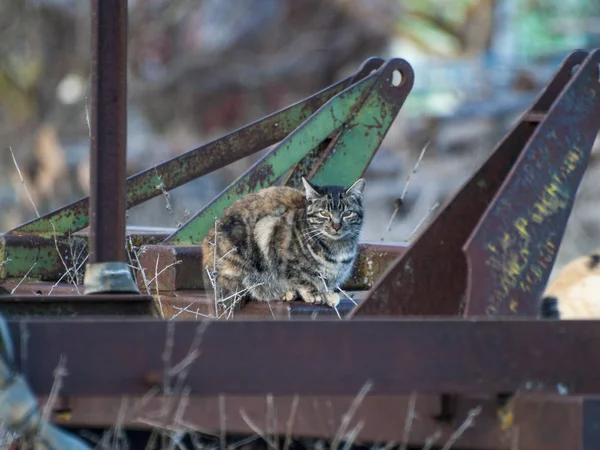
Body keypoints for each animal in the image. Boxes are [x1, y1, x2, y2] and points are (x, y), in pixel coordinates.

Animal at [202, 177, 366, 312]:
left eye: (347, 213)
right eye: (324, 213)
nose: (336, 226)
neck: (338, 249)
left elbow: (326, 283)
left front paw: (327, 293)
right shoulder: (272, 236)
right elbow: (301, 277)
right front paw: (314, 293)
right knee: (250, 289)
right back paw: (281, 293)